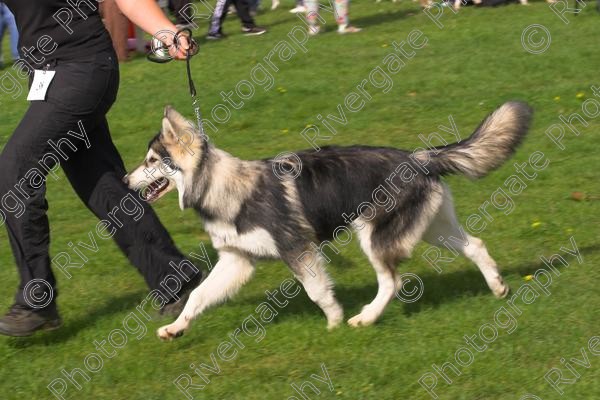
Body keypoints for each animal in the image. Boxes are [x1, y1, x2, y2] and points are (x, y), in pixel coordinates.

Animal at [125, 101, 528, 340]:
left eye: (150, 161)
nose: (127, 181)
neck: (224, 188)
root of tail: (419, 157)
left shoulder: (296, 249)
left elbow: (317, 291)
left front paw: (334, 322)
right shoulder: (236, 261)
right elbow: (197, 295)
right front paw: (176, 326)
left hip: (373, 235)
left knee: (393, 281)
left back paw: (365, 318)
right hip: (432, 230)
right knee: (476, 245)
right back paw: (498, 288)